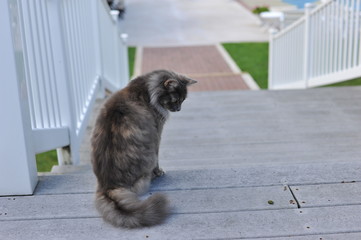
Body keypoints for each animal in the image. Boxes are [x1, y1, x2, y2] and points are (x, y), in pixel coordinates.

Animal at [91, 70, 195, 229]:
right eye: (176, 100)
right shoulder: (157, 132)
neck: (147, 89)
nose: (179, 109)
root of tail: (108, 186)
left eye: (182, 100)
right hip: (149, 156)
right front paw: (159, 172)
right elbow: (158, 159)